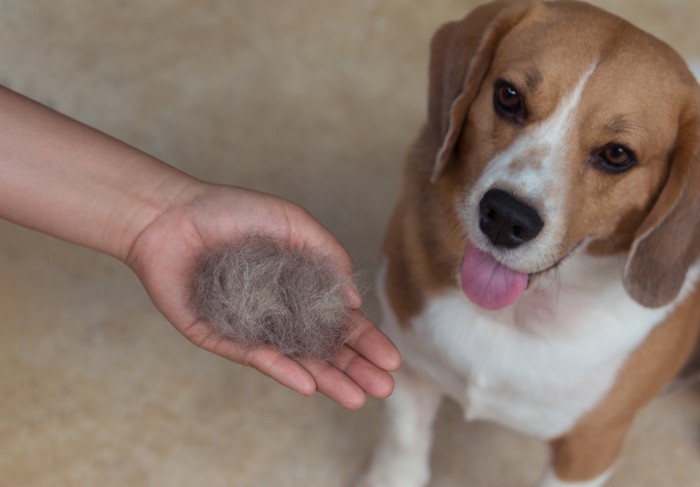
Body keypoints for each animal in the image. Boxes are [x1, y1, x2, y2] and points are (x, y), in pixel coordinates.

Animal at [360, 0, 700, 487]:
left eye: (617, 155)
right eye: (509, 97)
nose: (506, 218)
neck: (513, 316)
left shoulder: (589, 449)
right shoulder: (407, 362)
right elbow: (403, 442)